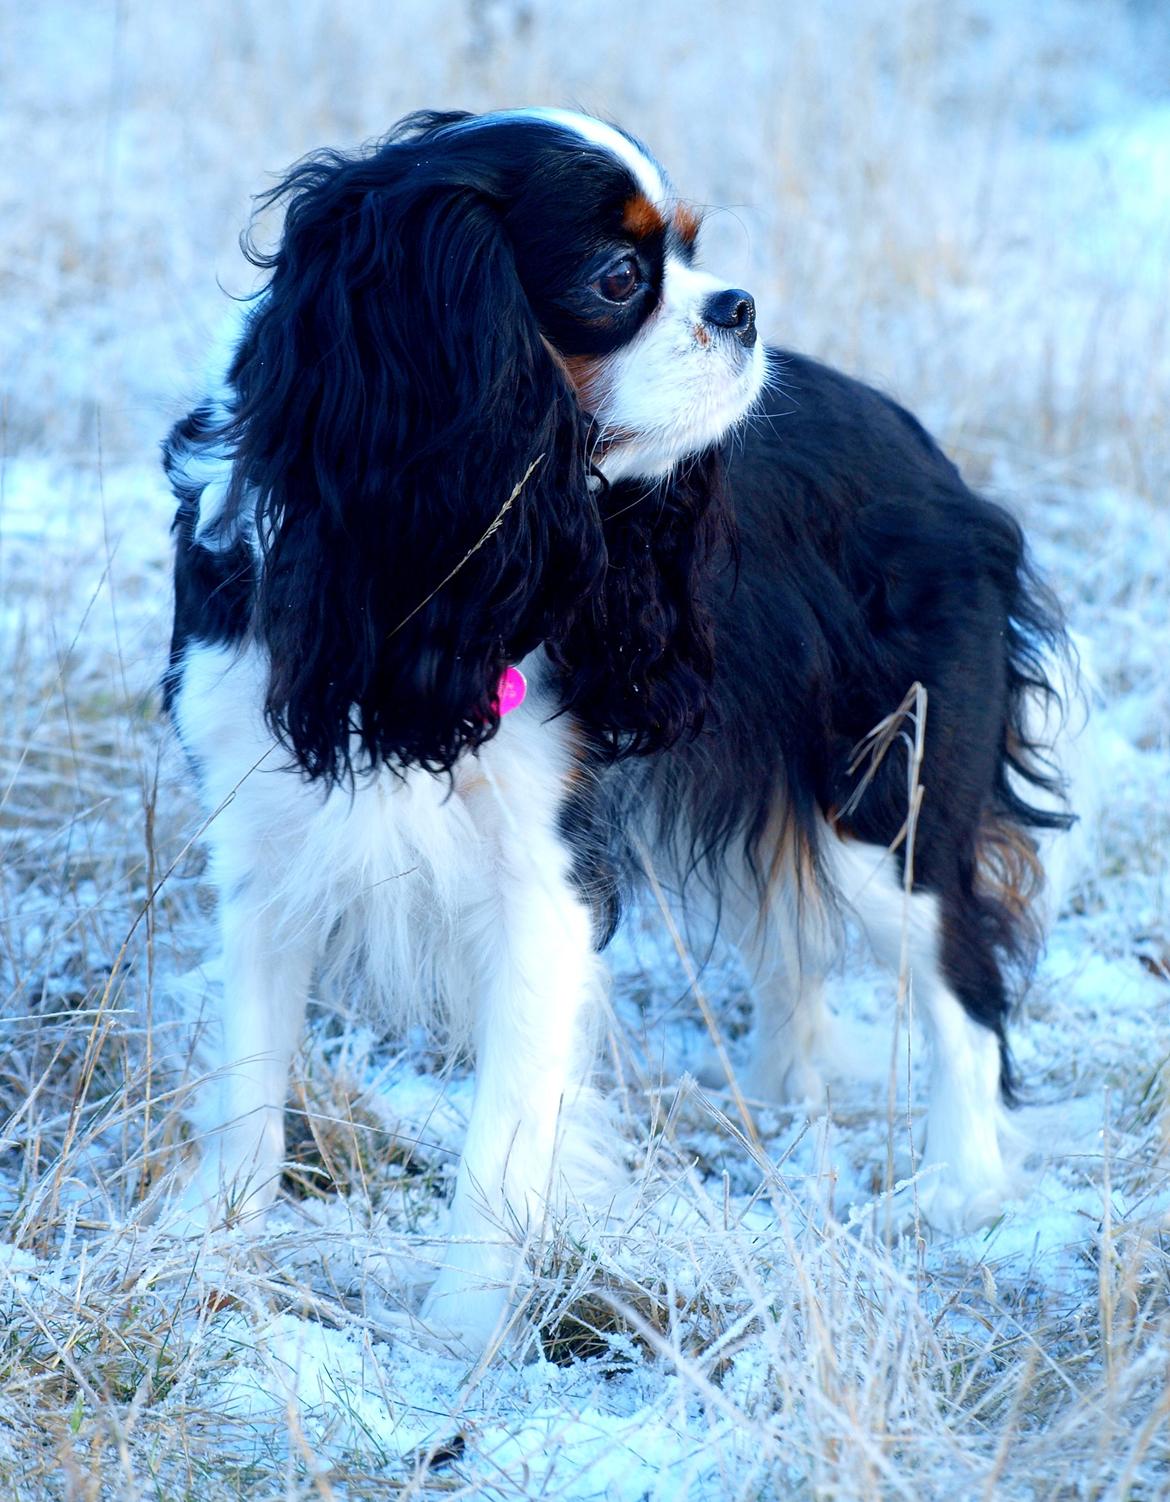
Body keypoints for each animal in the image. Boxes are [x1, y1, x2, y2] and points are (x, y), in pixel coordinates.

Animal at [159, 105, 1087, 1351]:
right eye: (619, 277)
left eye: (690, 247)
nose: (741, 306)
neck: (412, 574)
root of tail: (937, 462)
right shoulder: (263, 842)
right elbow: (249, 1069)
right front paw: (210, 1247)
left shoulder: (543, 883)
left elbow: (503, 1131)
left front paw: (461, 1341)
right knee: (794, 942)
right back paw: (781, 1095)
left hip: (887, 808)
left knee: (967, 985)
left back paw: (961, 1190)